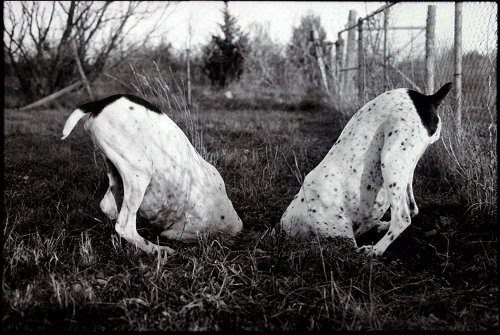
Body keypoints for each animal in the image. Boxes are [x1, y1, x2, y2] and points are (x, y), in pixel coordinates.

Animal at [62, 94, 242, 255]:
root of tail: (100, 103)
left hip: (116, 170)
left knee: (108, 208)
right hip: (140, 171)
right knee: (124, 227)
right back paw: (158, 250)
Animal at [280, 84, 452, 258]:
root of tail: (427, 98)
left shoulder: (346, 241)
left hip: (390, 161)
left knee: (402, 218)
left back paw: (375, 250)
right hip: (405, 167)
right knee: (412, 210)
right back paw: (382, 227)